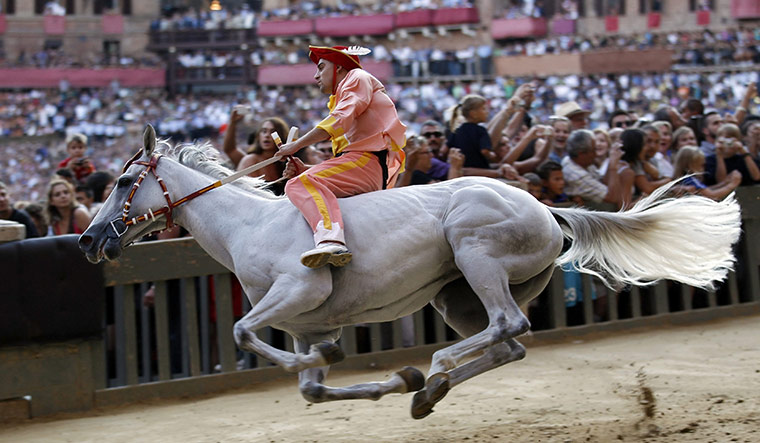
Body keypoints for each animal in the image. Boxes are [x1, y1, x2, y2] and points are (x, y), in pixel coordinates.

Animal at [79, 125, 741, 419]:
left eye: (123, 180)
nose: (87, 239)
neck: (249, 223)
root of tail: (548, 209)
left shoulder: (299, 288)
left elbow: (245, 332)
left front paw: (387, 371)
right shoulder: (307, 322)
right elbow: (312, 385)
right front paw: (391, 379)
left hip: (476, 255)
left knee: (507, 326)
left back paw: (437, 369)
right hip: (456, 298)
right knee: (511, 341)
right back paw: (428, 390)